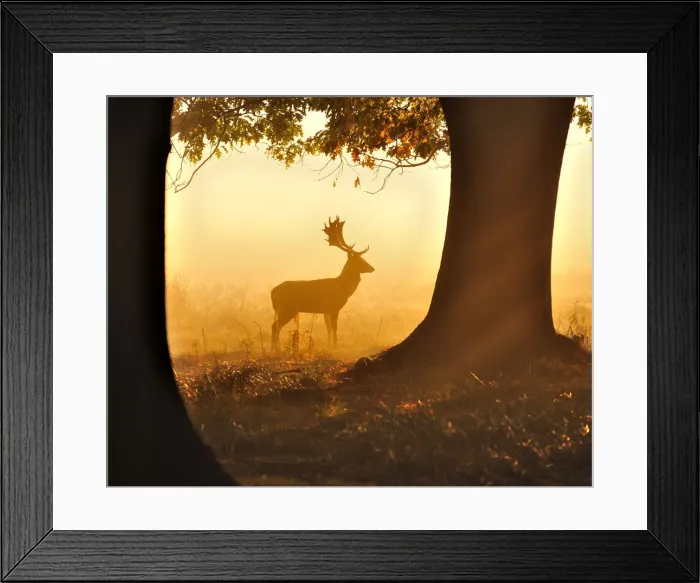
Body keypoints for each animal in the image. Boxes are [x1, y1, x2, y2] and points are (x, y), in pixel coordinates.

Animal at [270, 216, 375, 352]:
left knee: (275, 325)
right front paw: (335, 347)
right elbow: (334, 329)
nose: (372, 268)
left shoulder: (326, 310)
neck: (343, 288)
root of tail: (272, 292)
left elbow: (329, 329)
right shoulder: (334, 307)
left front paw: (329, 346)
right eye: (359, 260)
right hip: (288, 308)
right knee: (275, 325)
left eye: (362, 259)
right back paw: (274, 349)